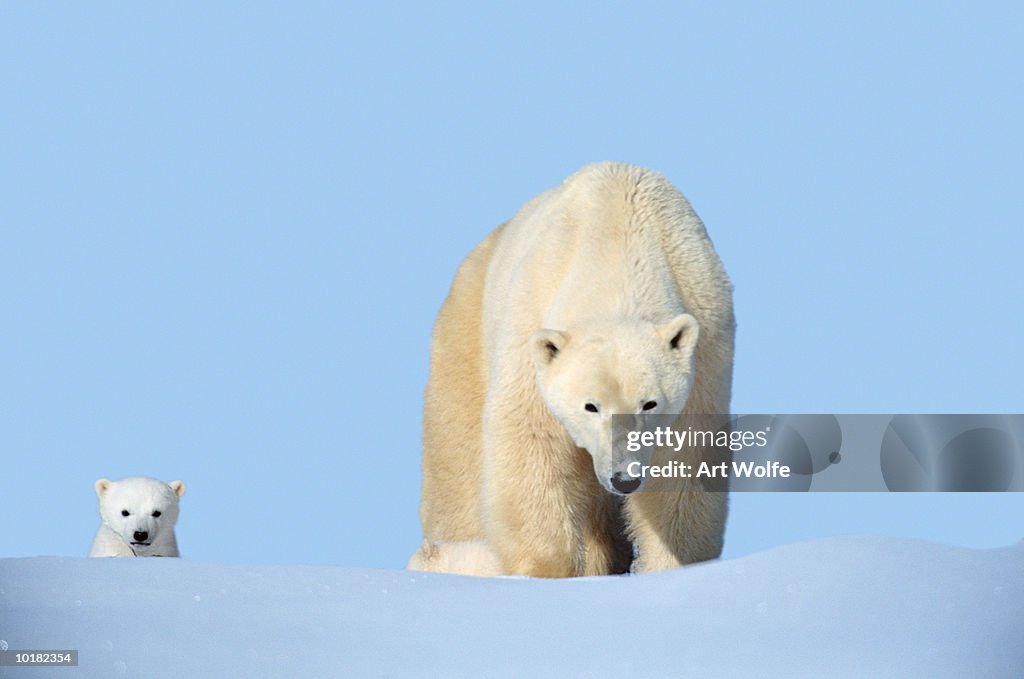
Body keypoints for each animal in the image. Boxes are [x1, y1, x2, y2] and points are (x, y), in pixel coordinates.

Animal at [409, 161, 737, 577]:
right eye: (590, 405)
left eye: (649, 404)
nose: (623, 479)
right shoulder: (533, 329)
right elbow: (532, 443)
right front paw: (546, 569)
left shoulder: (706, 341)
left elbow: (685, 460)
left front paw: (672, 564)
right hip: (467, 329)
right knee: (457, 459)